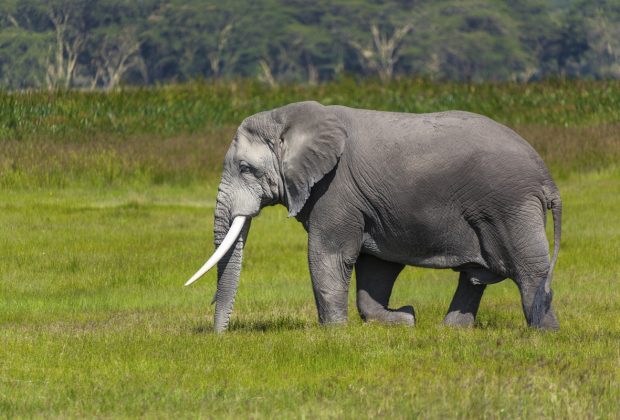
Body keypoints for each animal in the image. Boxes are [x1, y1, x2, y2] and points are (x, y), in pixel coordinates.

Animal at [185, 100, 560, 334]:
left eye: (246, 169)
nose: (219, 337)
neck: (289, 117)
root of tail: (546, 176)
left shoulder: (335, 188)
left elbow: (329, 255)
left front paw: (334, 334)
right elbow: (375, 266)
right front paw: (404, 319)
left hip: (509, 205)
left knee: (529, 269)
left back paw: (544, 334)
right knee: (474, 277)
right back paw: (450, 331)